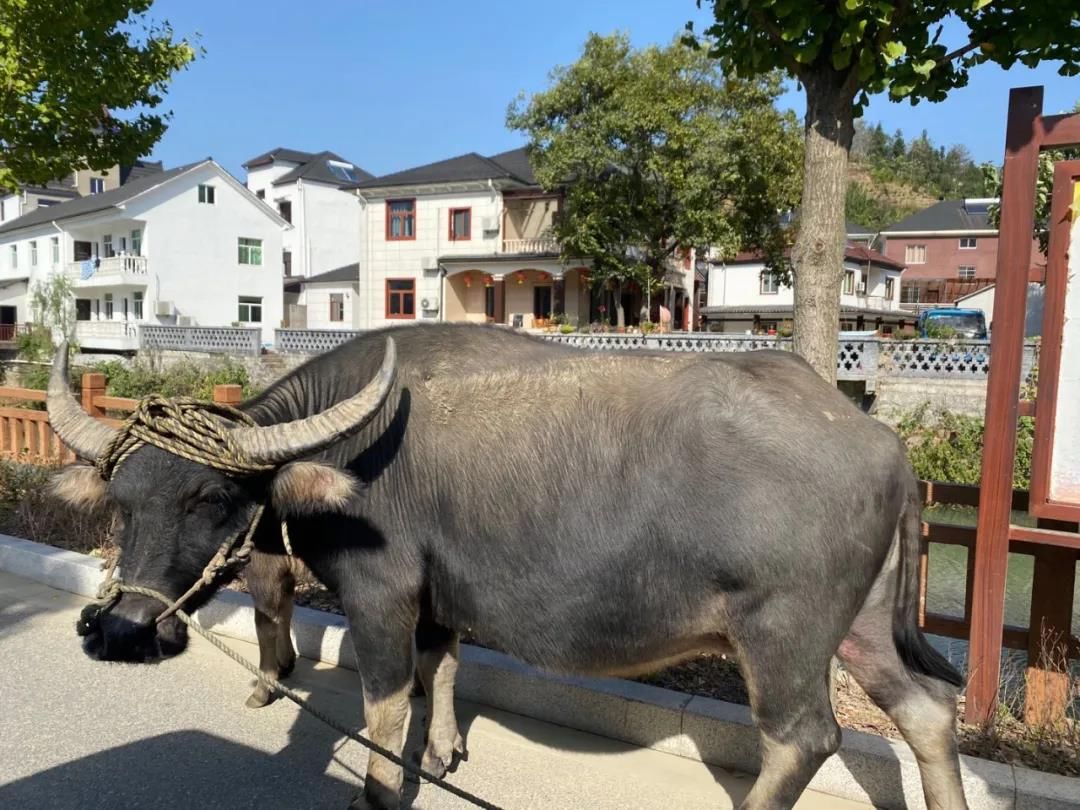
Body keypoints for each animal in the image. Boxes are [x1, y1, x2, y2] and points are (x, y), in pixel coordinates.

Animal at [46, 324, 967, 810]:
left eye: (210, 498)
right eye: (122, 499)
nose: (121, 631)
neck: (347, 451)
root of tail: (882, 439)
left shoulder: (381, 596)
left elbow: (385, 703)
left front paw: (381, 789)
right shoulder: (437, 597)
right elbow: (442, 670)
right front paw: (442, 752)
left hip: (782, 636)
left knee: (803, 737)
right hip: (858, 629)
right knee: (926, 711)